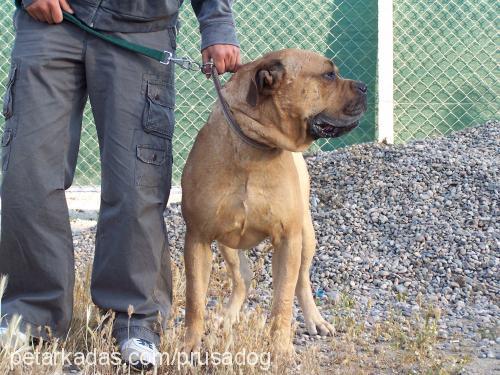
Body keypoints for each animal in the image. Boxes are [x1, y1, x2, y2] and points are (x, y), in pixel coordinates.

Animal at [181, 48, 368, 354]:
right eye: (329, 75)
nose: (365, 86)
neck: (253, 147)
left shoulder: (288, 238)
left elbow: (283, 299)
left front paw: (280, 348)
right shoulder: (198, 237)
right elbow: (195, 298)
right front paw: (190, 344)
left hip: (306, 235)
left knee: (301, 281)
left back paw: (315, 320)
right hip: (226, 243)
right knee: (242, 278)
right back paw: (227, 317)